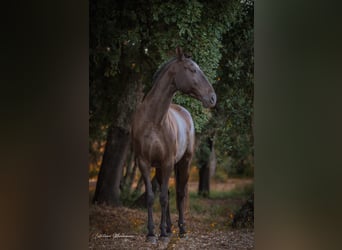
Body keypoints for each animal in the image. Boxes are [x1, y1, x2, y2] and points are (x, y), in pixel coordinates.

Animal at [132, 47, 216, 241]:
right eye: (192, 69)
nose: (212, 98)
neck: (153, 121)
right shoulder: (144, 163)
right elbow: (151, 196)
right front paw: (151, 233)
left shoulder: (168, 162)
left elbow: (163, 197)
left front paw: (162, 233)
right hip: (160, 168)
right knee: (170, 194)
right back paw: (170, 228)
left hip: (184, 162)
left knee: (179, 194)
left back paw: (181, 229)